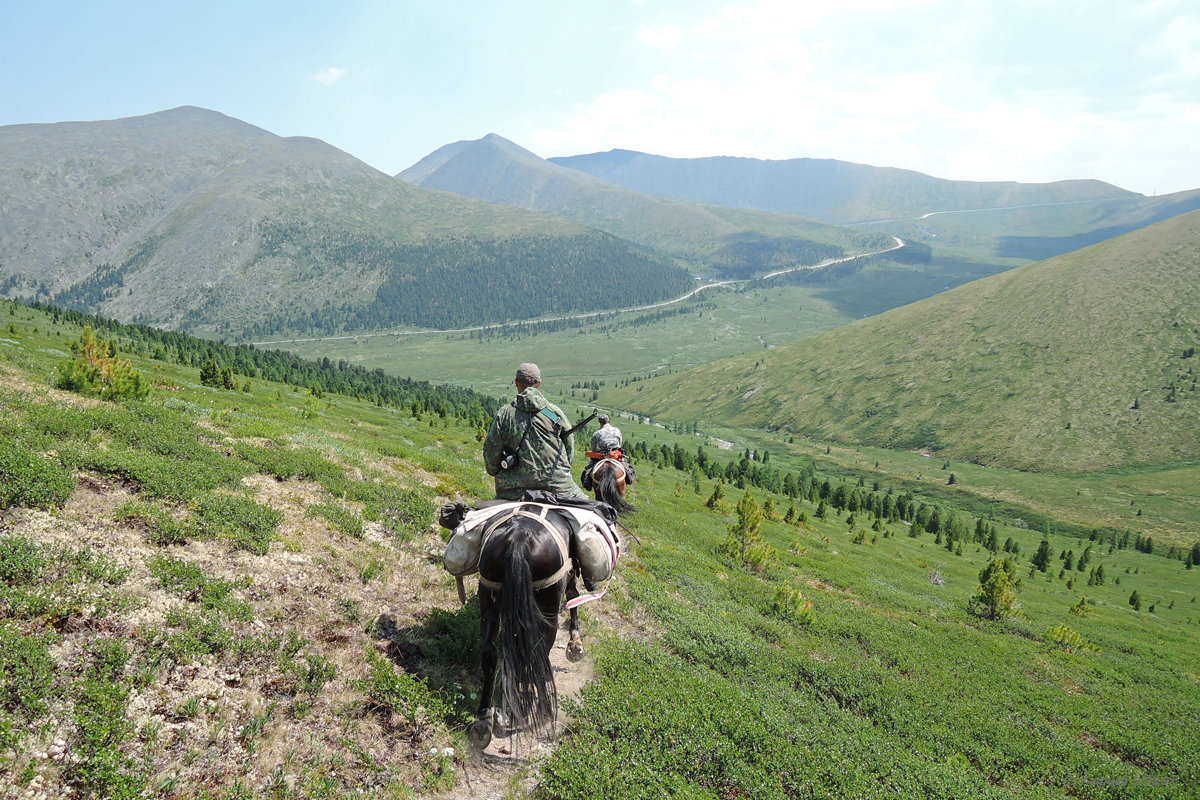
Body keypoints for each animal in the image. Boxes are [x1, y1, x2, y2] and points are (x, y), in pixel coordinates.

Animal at [465, 506, 583, 753]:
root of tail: (518, 537)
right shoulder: (568, 578)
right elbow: (574, 597)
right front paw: (575, 645)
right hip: (548, 607)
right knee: (538, 654)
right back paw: (543, 710)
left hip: (488, 597)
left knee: (490, 653)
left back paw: (484, 721)